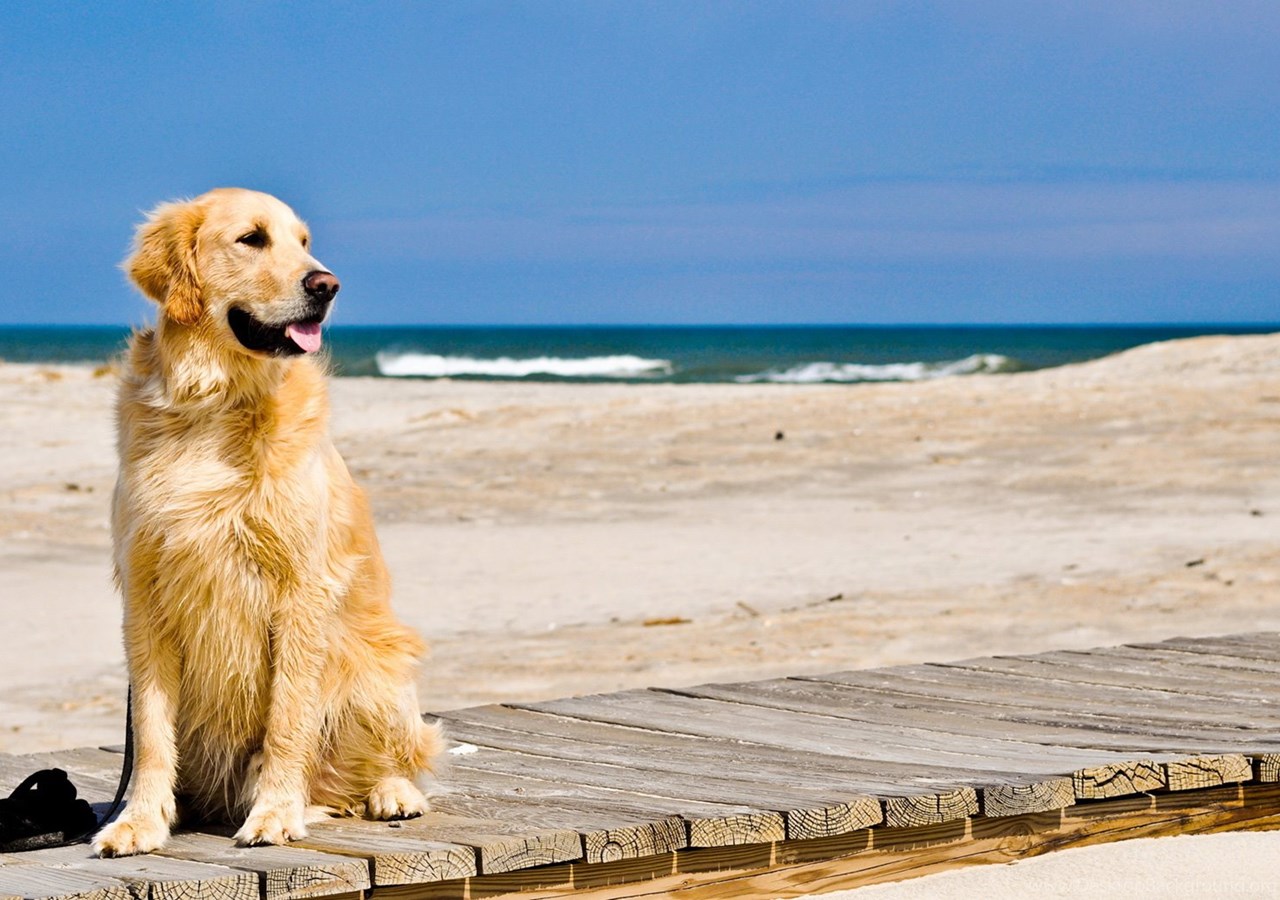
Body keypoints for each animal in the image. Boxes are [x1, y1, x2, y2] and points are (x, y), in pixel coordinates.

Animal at [92, 186, 442, 855]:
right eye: (252, 239)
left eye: (304, 242)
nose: (327, 284)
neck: (213, 403)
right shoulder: (145, 595)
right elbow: (149, 730)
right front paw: (140, 819)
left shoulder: (301, 590)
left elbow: (287, 717)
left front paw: (276, 812)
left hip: (377, 667)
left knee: (389, 759)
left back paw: (391, 794)